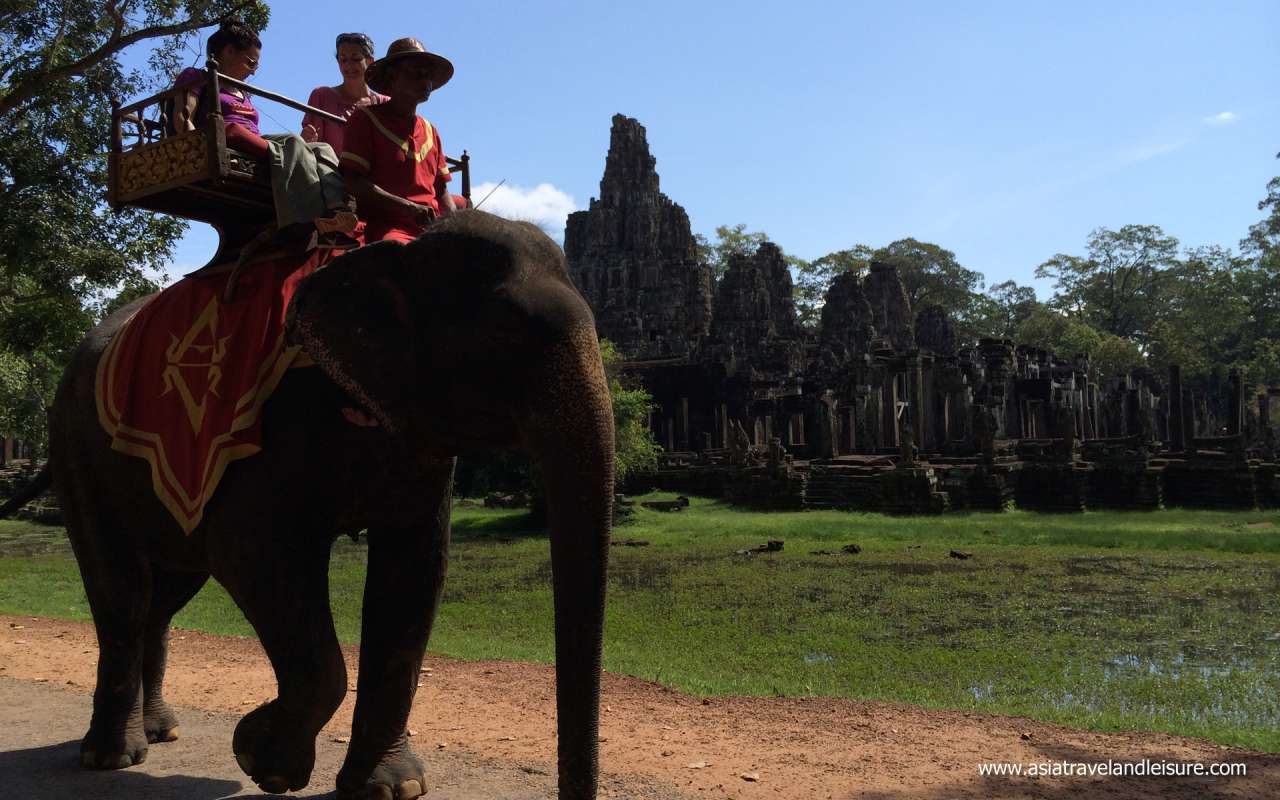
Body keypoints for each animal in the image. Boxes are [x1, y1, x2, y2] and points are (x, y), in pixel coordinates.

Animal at [10, 212, 609, 798]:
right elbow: (253, 553)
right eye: (506, 338)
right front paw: (262, 759)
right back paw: (111, 757)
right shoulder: (273, 429)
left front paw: (392, 787)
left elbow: (414, 577)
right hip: (77, 446)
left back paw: (161, 732)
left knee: (164, 596)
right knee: (122, 591)